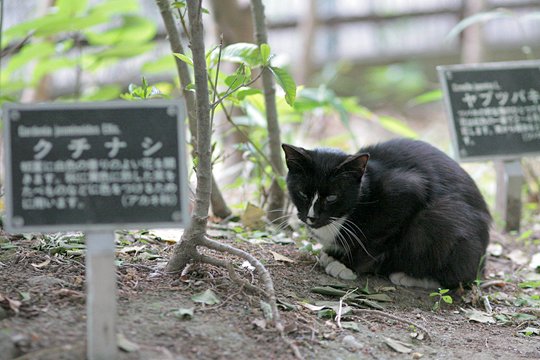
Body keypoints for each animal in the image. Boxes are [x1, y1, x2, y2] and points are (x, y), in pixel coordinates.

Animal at [284, 139, 492, 290]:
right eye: (302, 193)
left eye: (332, 197)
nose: (312, 217)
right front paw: (333, 254)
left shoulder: (406, 191)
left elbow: (375, 241)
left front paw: (346, 265)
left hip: (437, 217)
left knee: (460, 279)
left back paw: (412, 277)